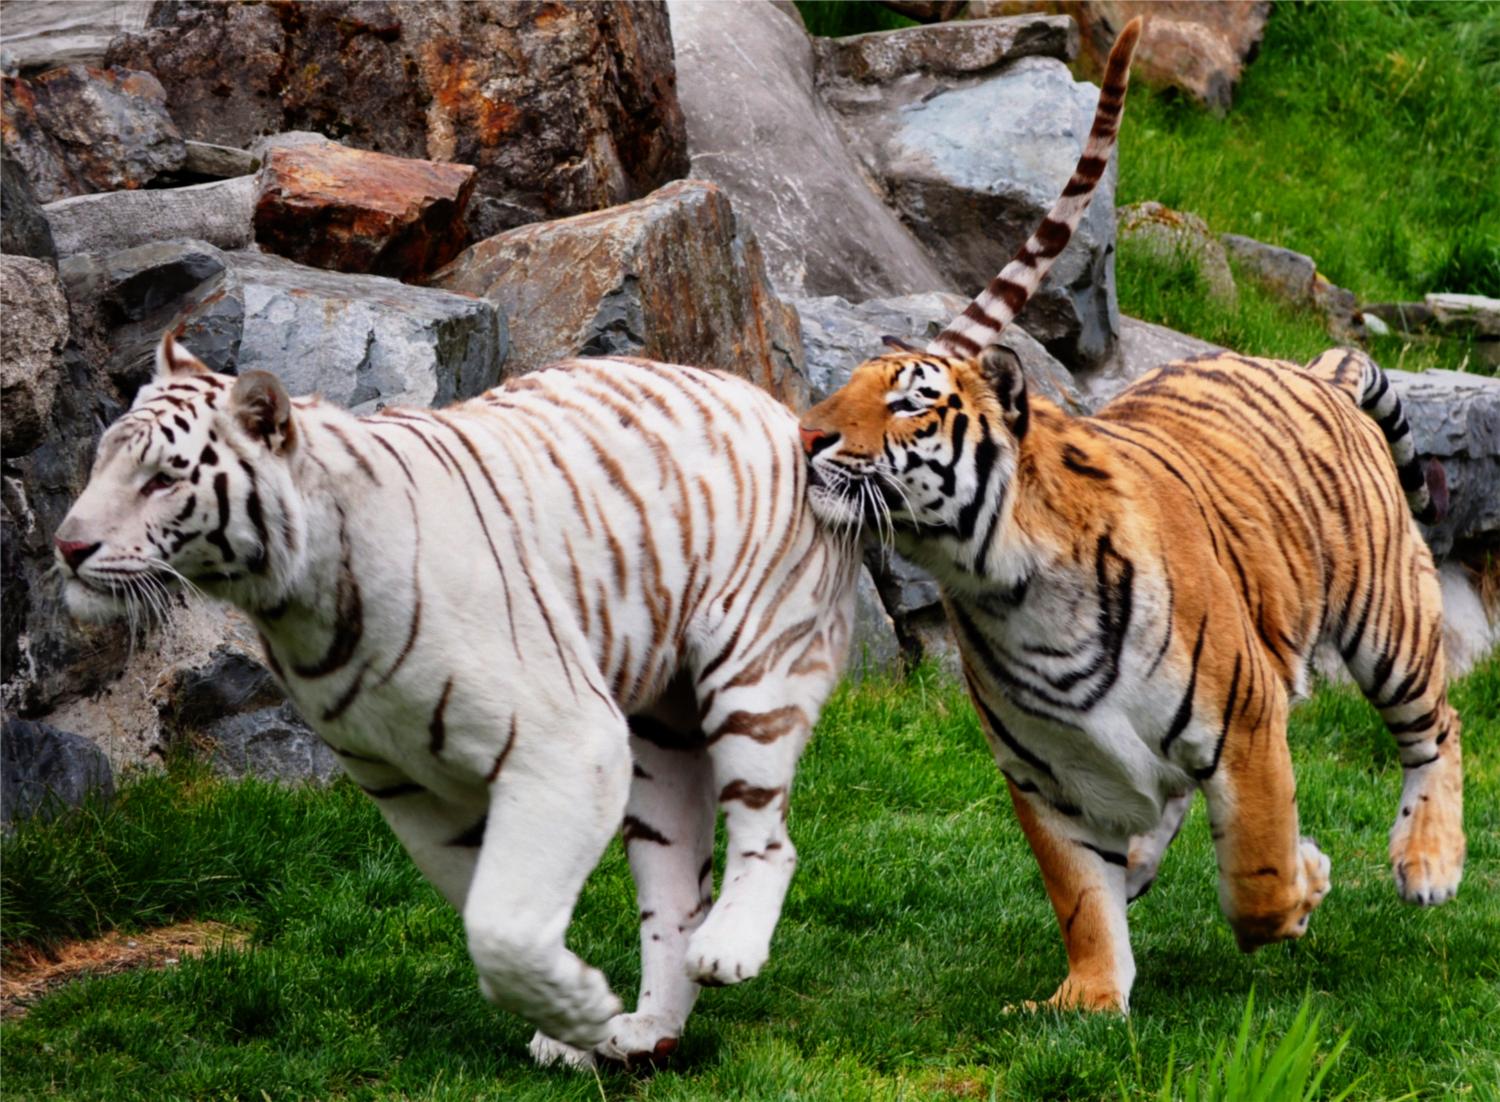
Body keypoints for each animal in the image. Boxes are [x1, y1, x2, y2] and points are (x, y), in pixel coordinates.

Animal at [61, 331, 858, 1067]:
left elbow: (503, 926)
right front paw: (574, 1026)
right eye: (103, 462)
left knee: (769, 836)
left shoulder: (568, 744)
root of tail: (766, 400)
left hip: (753, 672)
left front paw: (579, 1014)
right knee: (675, 885)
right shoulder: (406, 786)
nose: (67, 547)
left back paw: (728, 951)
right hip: (658, 735)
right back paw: (649, 1029)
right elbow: (494, 917)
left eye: (163, 480)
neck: (299, 601)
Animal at [798, 17, 1464, 1013]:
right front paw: (1085, 999)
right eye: (842, 388)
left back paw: (1429, 863)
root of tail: (1319, 367)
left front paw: (1304, 881)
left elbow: (1256, 876)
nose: (804, 434)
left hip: (1388, 620)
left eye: (910, 403)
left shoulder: (1245, 720)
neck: (1003, 586)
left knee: (1438, 730)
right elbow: (1079, 894)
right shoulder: (1045, 774)